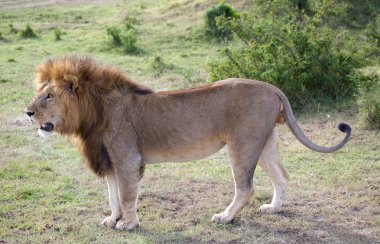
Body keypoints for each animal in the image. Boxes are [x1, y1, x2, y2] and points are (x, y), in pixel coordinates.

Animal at [26, 55, 350, 231]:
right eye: (39, 93)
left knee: (245, 187)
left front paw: (129, 224)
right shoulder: (109, 160)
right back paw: (273, 209)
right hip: (265, 142)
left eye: (49, 96)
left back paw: (225, 217)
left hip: (243, 145)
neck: (94, 113)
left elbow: (127, 195)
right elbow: (113, 195)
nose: (27, 112)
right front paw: (112, 219)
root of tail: (272, 87)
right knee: (282, 176)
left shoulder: (127, 159)